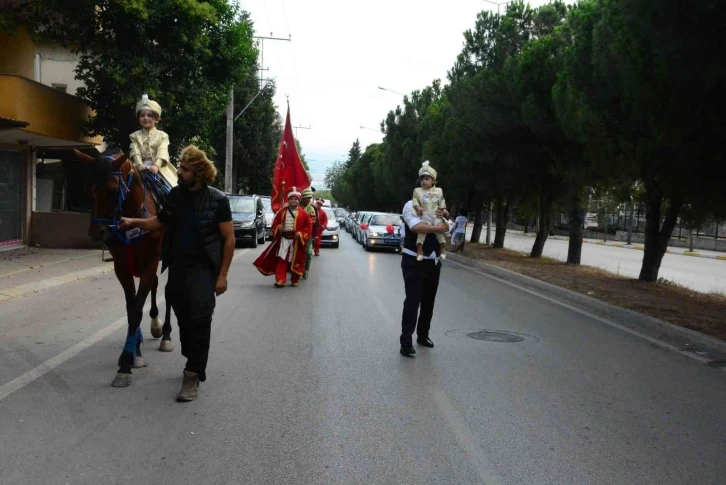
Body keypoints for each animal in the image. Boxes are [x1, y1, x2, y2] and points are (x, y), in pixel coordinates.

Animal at [75, 147, 175, 386]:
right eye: (88, 190)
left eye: (113, 190)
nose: (97, 232)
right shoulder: (122, 267)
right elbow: (132, 309)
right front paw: (135, 353)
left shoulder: (150, 263)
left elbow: (137, 309)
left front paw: (126, 363)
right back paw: (156, 325)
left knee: (169, 292)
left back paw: (166, 335)